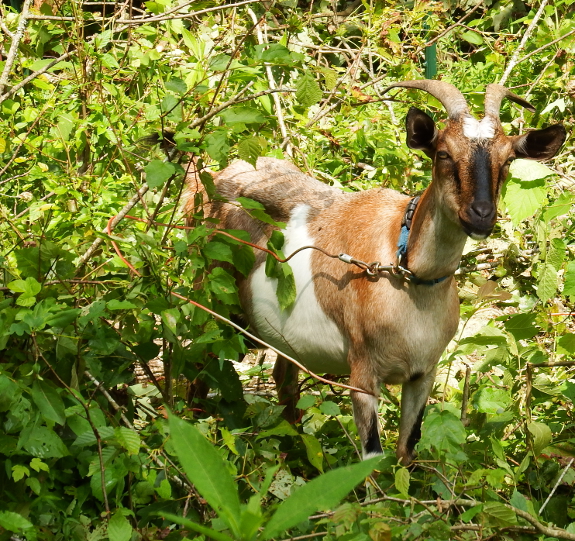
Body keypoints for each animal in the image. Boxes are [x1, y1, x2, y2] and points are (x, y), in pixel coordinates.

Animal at [186, 81, 568, 464]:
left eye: (507, 160)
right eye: (443, 154)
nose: (481, 215)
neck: (409, 273)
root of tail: (216, 177)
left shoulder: (423, 373)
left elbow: (405, 452)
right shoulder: (362, 373)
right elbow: (372, 457)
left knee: (284, 380)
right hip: (215, 298)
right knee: (200, 365)